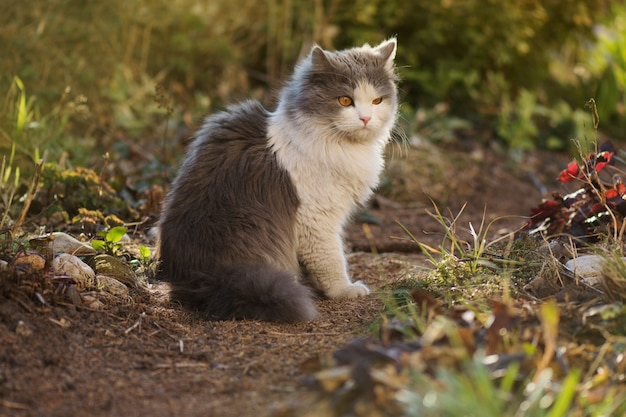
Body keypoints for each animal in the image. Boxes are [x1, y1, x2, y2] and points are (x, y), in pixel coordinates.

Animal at [157, 37, 400, 322]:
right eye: (344, 100)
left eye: (377, 101)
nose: (365, 118)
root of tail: (202, 277)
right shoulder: (316, 218)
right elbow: (331, 259)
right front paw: (344, 290)